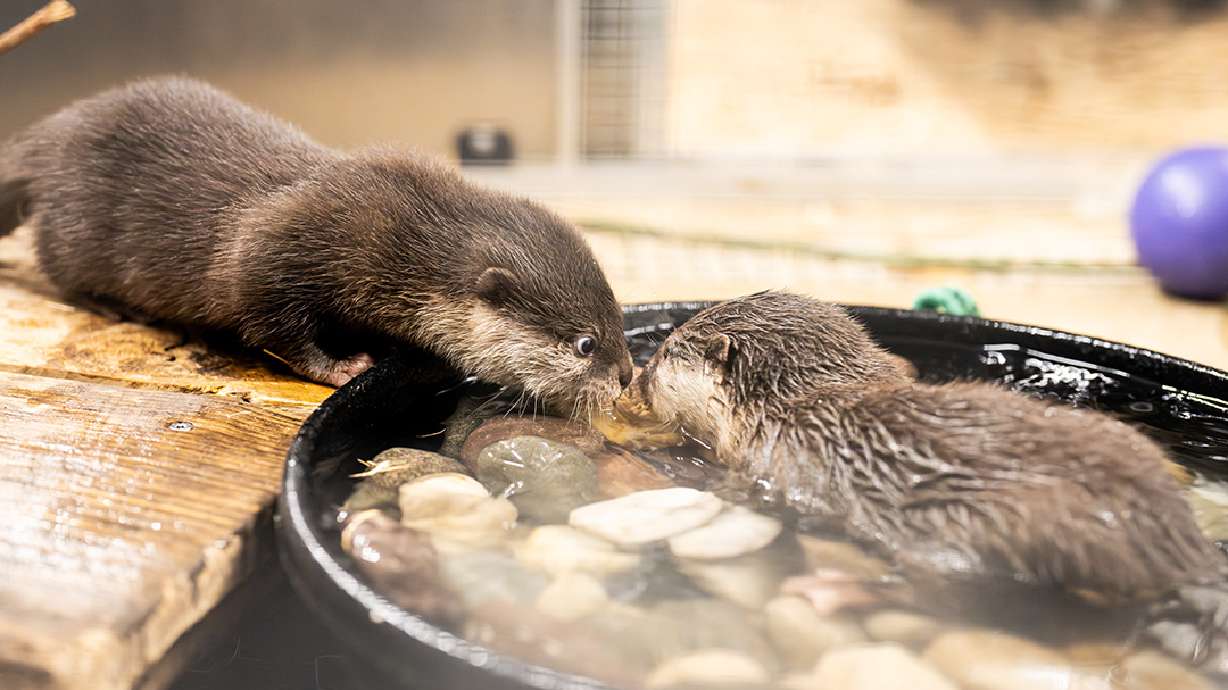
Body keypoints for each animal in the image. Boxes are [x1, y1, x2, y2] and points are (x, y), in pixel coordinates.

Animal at [0, 77, 632, 415]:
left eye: (619, 319)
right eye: (585, 344)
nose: (626, 375)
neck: (407, 247)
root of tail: (49, 137)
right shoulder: (279, 253)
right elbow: (272, 325)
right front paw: (342, 366)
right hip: (76, 226)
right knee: (56, 265)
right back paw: (114, 305)